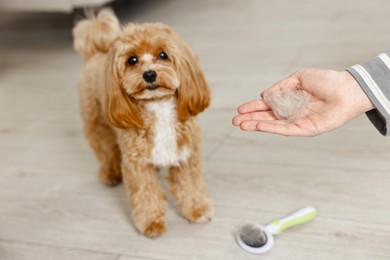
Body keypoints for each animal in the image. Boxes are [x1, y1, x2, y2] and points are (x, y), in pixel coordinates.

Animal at [72, 9, 213, 238]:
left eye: (163, 55)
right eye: (132, 60)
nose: (149, 74)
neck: (159, 106)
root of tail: (97, 52)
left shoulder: (185, 156)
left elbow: (190, 186)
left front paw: (197, 209)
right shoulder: (137, 164)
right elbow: (147, 195)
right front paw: (151, 223)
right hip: (97, 123)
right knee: (106, 150)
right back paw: (110, 174)